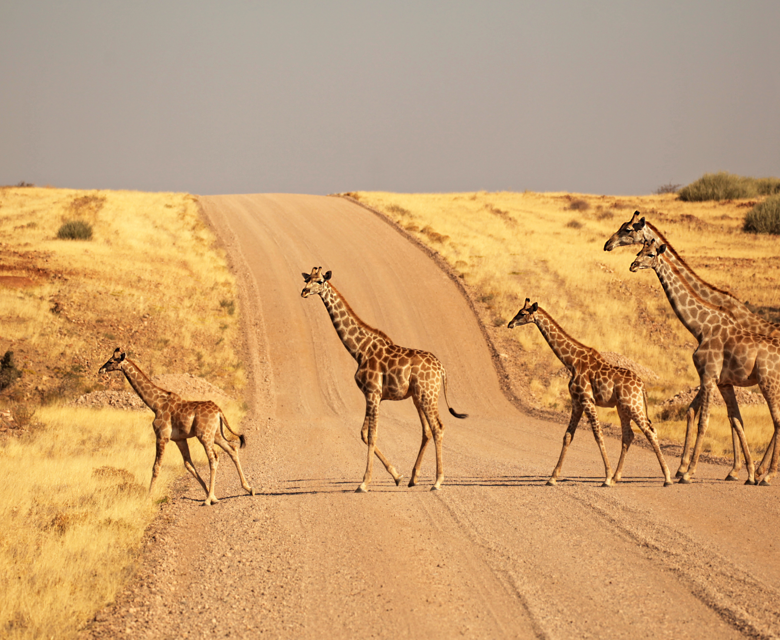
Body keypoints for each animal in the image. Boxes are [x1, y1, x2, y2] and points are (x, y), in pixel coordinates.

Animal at [98, 348, 254, 505]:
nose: (100, 370)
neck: (155, 404)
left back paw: (209, 499)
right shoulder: (179, 439)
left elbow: (156, 466)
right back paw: (248, 488)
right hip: (215, 434)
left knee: (214, 458)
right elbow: (188, 464)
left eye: (111, 361)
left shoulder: (162, 436)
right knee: (232, 449)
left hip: (204, 435)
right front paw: (212, 494)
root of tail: (219, 411)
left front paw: (148, 498)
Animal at [300, 267, 467, 493]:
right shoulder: (372, 395)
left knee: (438, 427)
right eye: (307, 279)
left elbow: (372, 435)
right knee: (427, 431)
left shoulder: (373, 392)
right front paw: (397, 476)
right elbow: (363, 434)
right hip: (418, 397)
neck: (359, 350)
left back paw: (438, 481)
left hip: (428, 395)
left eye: (319, 281)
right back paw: (413, 478)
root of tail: (442, 369)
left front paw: (364, 483)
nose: (303, 292)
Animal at [507, 299, 672, 487]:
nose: (510, 323)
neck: (571, 361)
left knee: (650, 431)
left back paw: (667, 478)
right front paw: (552, 477)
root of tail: (642, 386)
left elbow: (598, 434)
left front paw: (606, 477)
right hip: (622, 407)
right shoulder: (576, 401)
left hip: (633, 405)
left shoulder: (587, 400)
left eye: (522, 313)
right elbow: (568, 436)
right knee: (628, 435)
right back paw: (617, 477)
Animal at [605, 211, 779, 480]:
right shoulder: (718, 379)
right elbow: (718, 416)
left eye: (627, 229)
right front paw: (691, 467)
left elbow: (709, 419)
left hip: (768, 382)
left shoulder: (711, 376)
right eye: (639, 248)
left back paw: (765, 472)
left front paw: (694, 471)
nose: (607, 245)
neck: (703, 324)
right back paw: (760, 471)